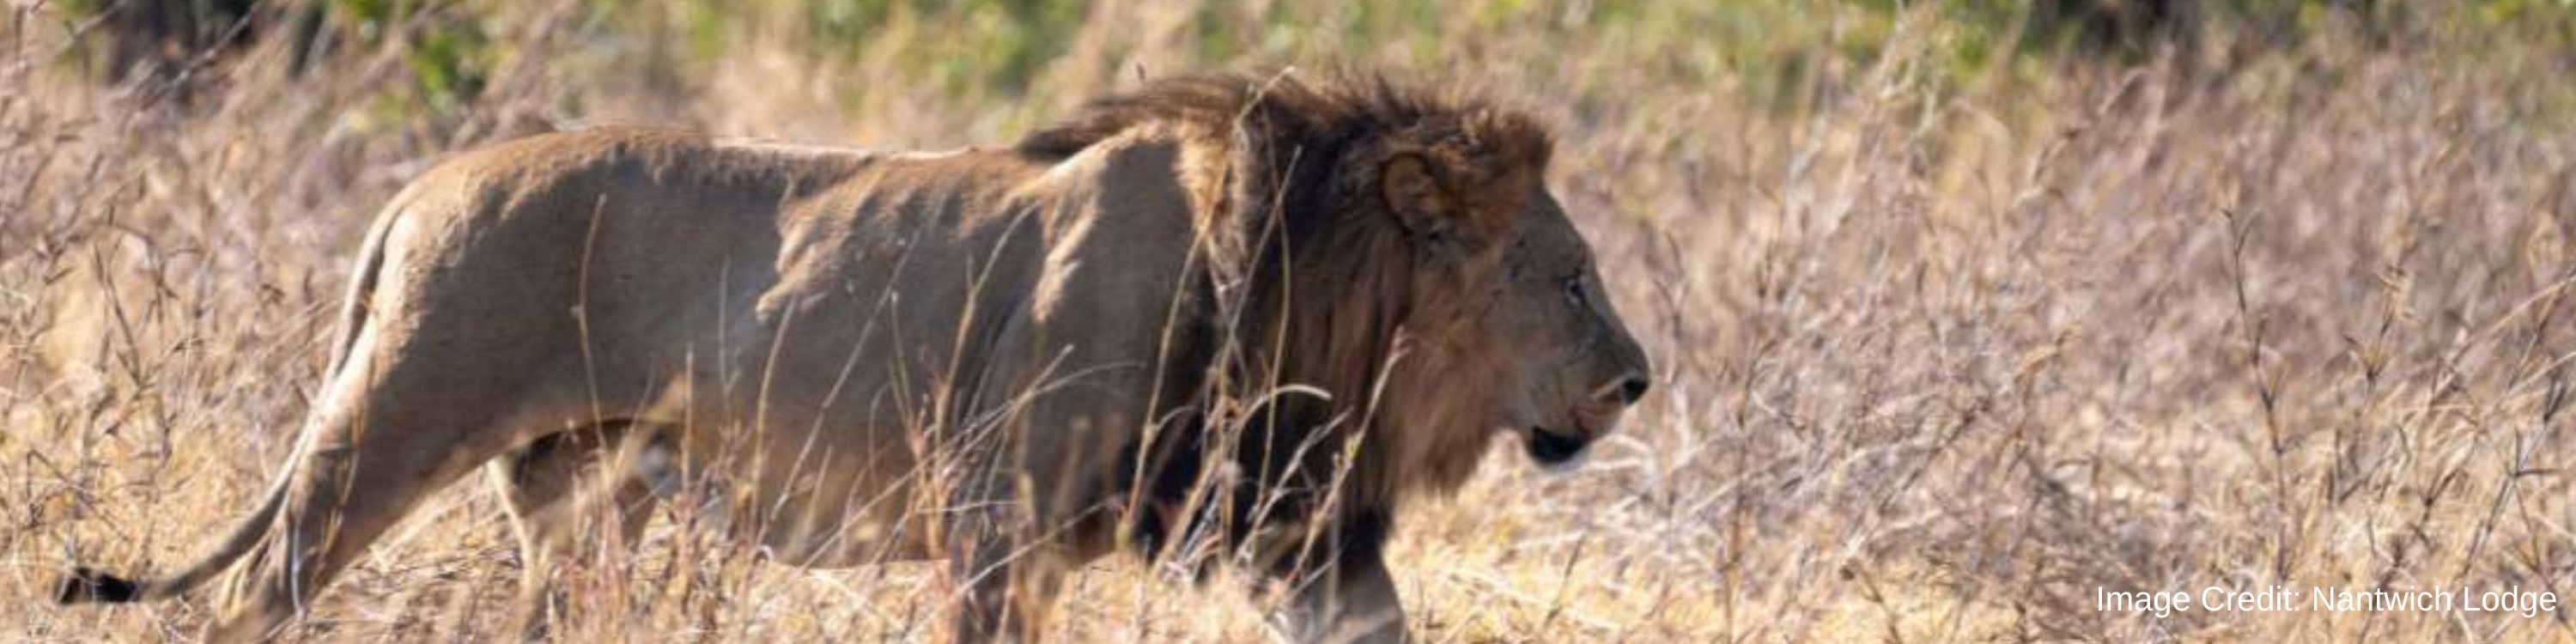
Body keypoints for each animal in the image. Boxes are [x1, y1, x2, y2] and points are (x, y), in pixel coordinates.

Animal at [55, 72, 1652, 643]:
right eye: (1571, 278)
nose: (1639, 380)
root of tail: (419, 188)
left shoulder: (1296, 522)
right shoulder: (1001, 517)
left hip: (582, 500)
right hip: (390, 423)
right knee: (257, 593)